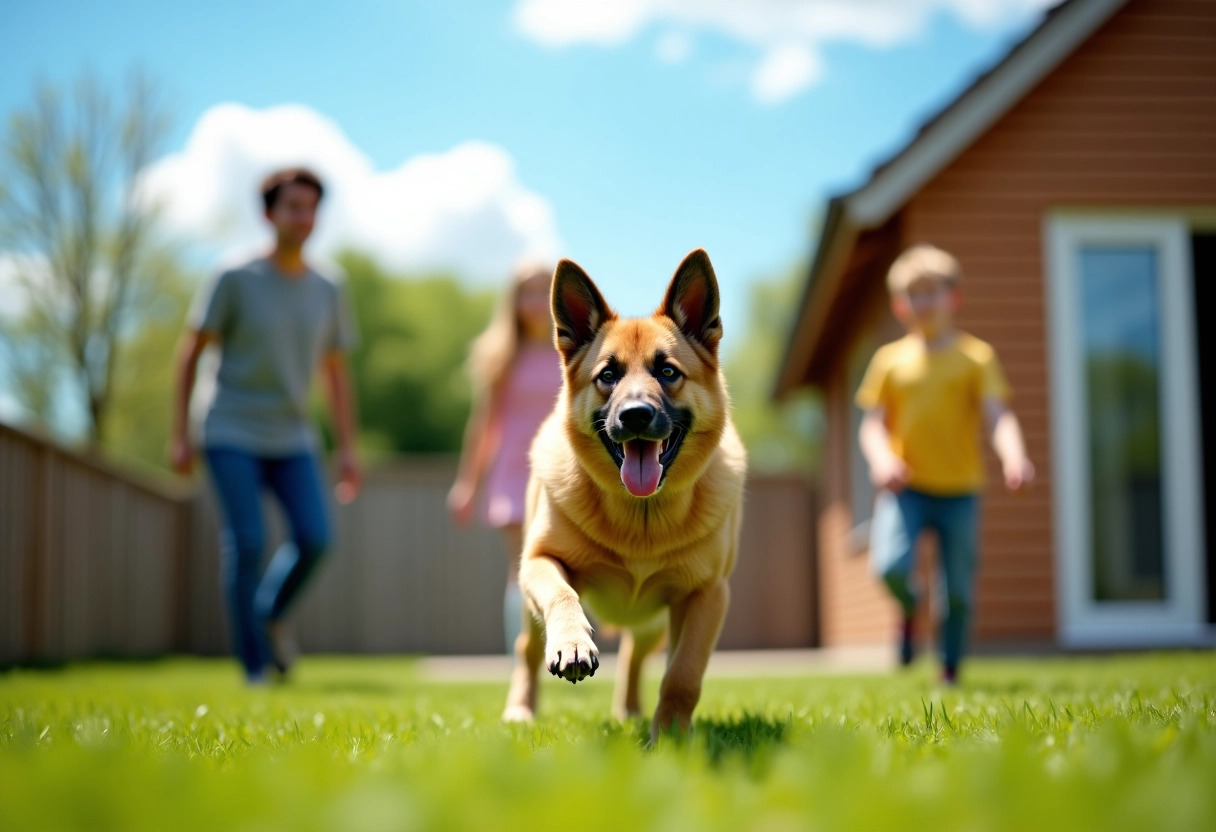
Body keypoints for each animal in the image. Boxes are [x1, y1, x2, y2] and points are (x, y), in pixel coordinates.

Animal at [500, 248, 744, 749]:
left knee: (636, 656)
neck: (641, 518)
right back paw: (521, 711)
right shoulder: (540, 562)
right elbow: (563, 595)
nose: (634, 416)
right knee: (526, 651)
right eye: (608, 375)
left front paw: (669, 739)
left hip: (654, 625)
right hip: (531, 612)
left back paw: (631, 712)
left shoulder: (707, 597)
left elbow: (682, 675)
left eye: (667, 372)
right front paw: (572, 643)